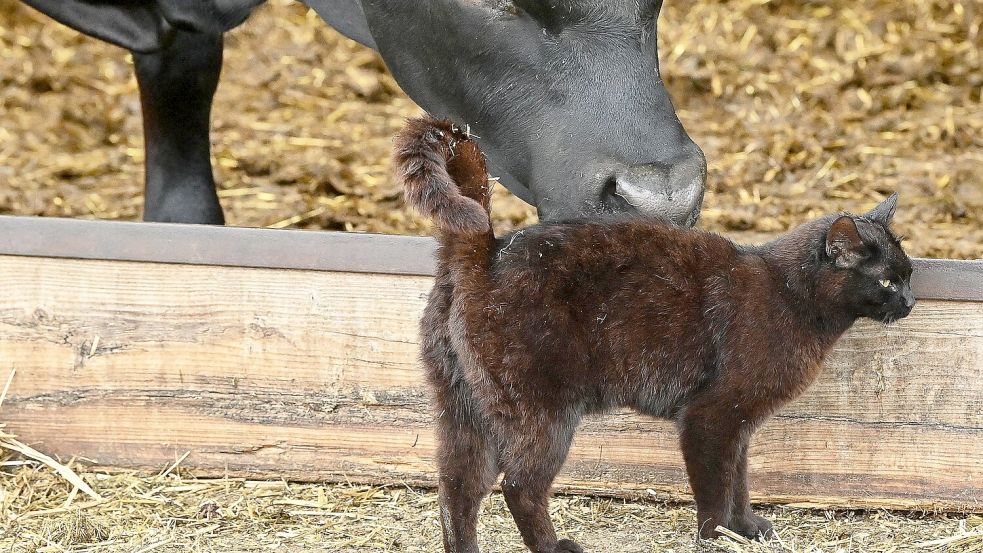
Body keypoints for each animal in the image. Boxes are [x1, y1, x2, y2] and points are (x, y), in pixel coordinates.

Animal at [396, 116, 920, 552]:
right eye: (887, 282)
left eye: (909, 274)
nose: (911, 301)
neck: (789, 293)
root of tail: (486, 252)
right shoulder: (710, 416)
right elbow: (715, 486)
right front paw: (716, 535)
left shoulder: (739, 421)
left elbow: (739, 478)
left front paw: (745, 528)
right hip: (541, 413)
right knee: (519, 486)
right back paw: (554, 546)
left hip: (462, 408)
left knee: (457, 487)